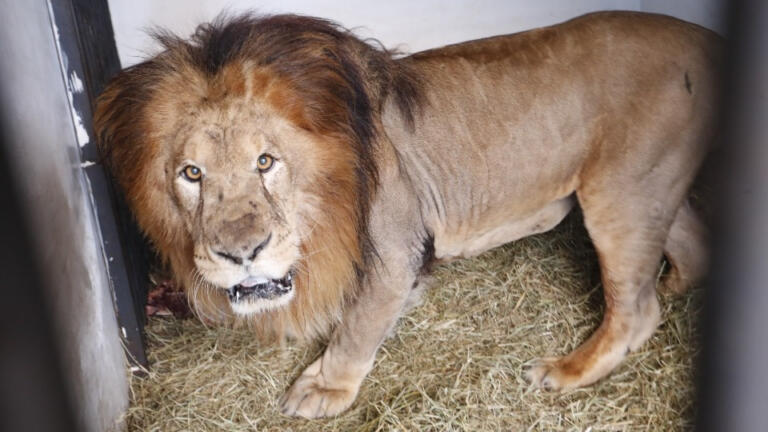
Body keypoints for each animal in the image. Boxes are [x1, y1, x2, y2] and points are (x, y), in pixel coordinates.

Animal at [94, 11, 718, 418]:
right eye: (191, 174)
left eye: (265, 161)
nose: (241, 253)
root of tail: (705, 38)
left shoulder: (393, 251)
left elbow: (357, 327)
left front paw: (325, 389)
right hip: (652, 186)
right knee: (690, 243)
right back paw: (678, 282)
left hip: (620, 192)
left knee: (635, 312)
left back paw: (564, 370)